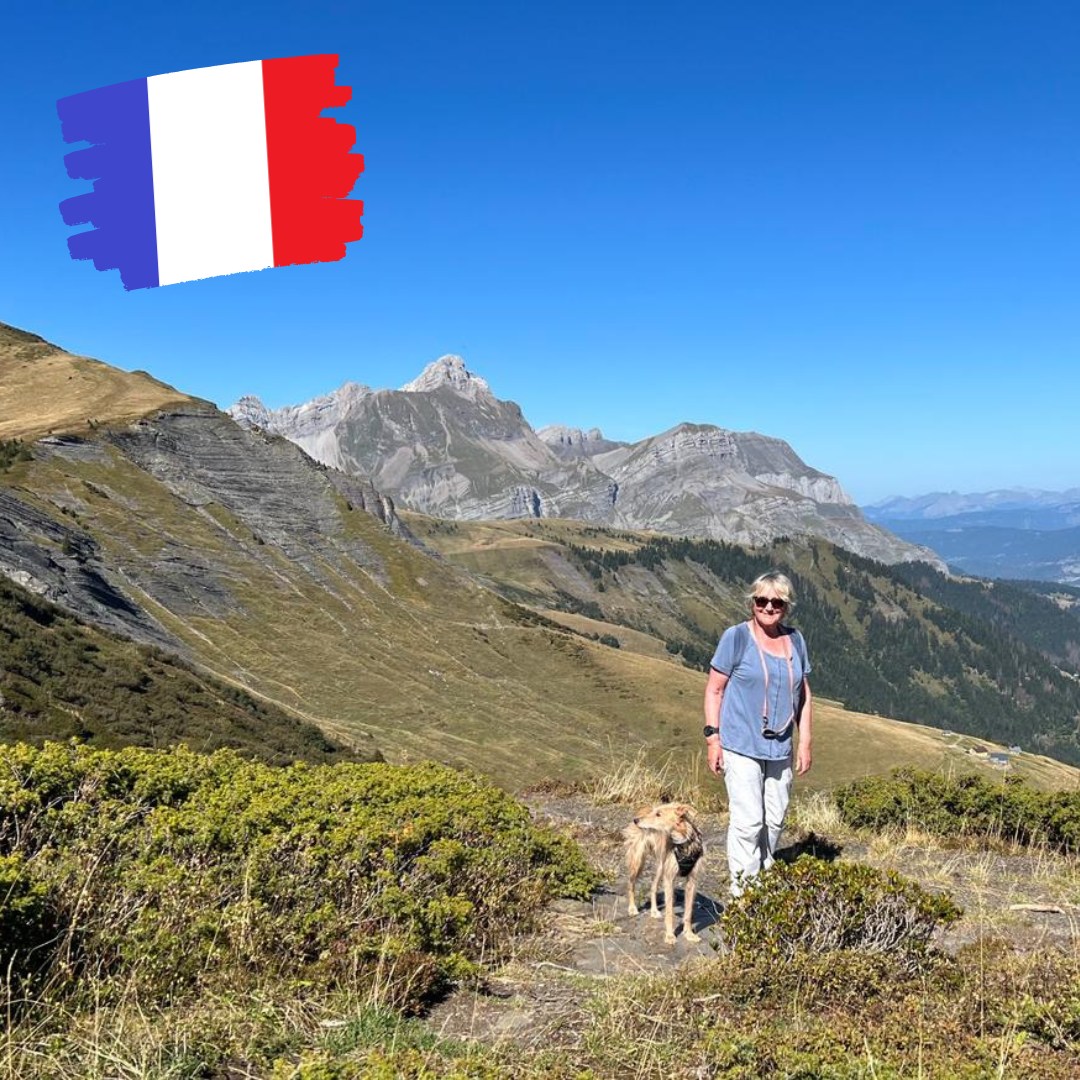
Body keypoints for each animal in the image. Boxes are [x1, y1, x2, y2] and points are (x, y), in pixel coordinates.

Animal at [622, 803, 704, 946]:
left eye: (658, 814)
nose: (636, 820)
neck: (683, 842)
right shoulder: (669, 879)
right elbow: (669, 912)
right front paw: (670, 935)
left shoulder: (692, 881)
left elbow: (688, 912)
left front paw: (689, 934)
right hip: (638, 859)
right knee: (630, 883)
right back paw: (632, 908)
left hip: (661, 865)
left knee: (653, 887)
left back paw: (654, 910)